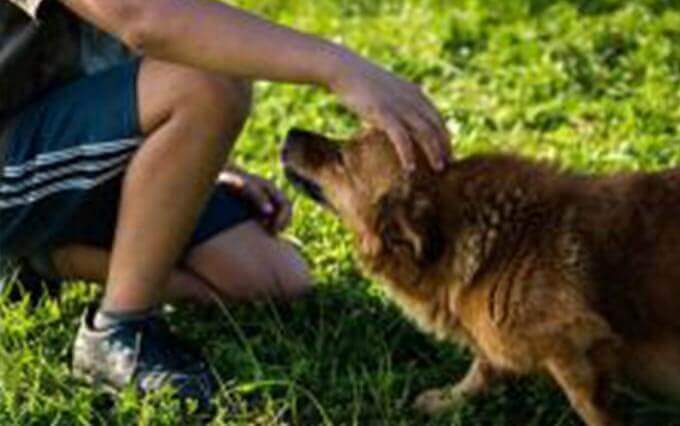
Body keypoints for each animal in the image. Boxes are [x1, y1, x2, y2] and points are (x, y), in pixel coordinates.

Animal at [282, 127, 680, 426]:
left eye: (341, 158)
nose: (290, 133)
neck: (502, 246)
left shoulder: (573, 345)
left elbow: (590, 407)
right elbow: (482, 367)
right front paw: (450, 400)